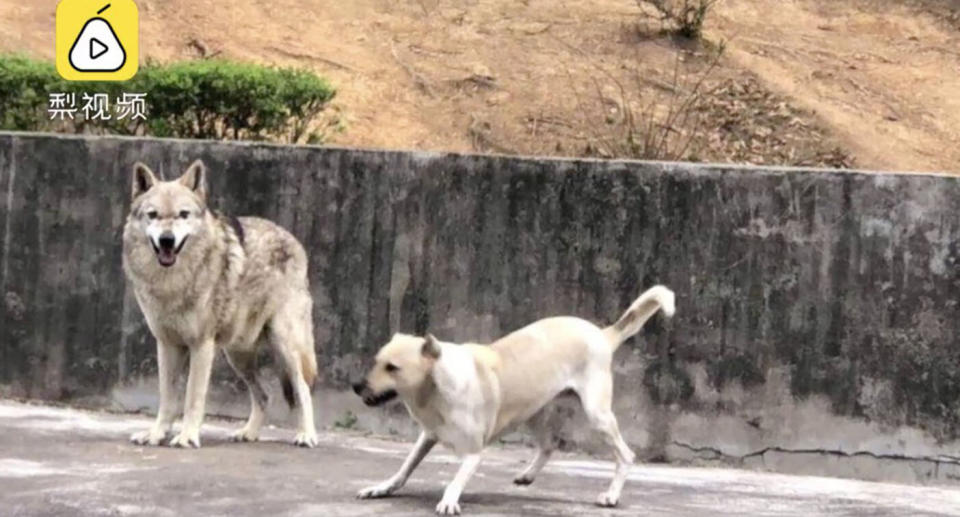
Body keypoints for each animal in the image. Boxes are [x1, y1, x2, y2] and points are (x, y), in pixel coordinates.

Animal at [122, 159, 318, 446]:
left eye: (183, 214)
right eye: (153, 215)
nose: (167, 240)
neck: (173, 282)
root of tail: (293, 239)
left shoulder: (201, 345)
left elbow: (192, 398)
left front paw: (186, 437)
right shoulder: (167, 345)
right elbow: (167, 399)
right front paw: (156, 434)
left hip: (284, 344)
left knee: (302, 388)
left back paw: (306, 435)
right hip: (237, 355)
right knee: (264, 395)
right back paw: (248, 433)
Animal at [352, 284, 676, 512]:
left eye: (392, 368)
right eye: (376, 361)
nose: (356, 385)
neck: (436, 386)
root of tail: (603, 333)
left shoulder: (474, 452)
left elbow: (457, 478)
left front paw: (450, 499)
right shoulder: (427, 436)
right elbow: (404, 468)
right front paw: (382, 487)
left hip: (597, 415)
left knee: (626, 455)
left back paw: (611, 495)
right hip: (532, 412)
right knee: (550, 444)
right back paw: (528, 475)